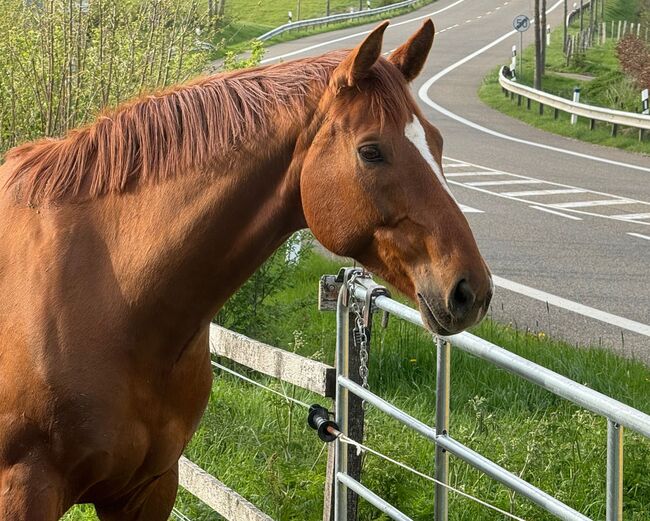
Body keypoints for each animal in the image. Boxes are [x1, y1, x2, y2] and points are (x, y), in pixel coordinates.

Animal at [0, 21, 486, 520]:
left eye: (436, 142)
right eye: (371, 151)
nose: (471, 290)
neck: (104, 294)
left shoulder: (149, 489)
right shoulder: (23, 492)